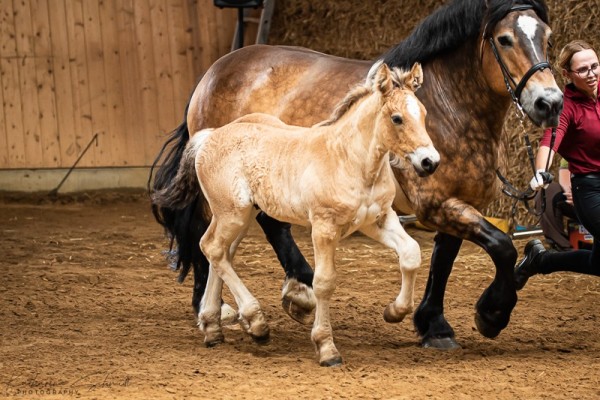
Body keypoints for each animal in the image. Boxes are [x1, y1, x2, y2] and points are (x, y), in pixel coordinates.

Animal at [150, 0, 564, 348]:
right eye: (505, 39)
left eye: (547, 37)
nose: (550, 103)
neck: (451, 105)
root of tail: (213, 72)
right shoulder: (436, 204)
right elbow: (502, 246)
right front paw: (491, 314)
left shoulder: (459, 202)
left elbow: (443, 260)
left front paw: (434, 325)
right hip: (225, 194)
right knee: (208, 237)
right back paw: (222, 307)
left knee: (265, 226)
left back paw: (294, 293)